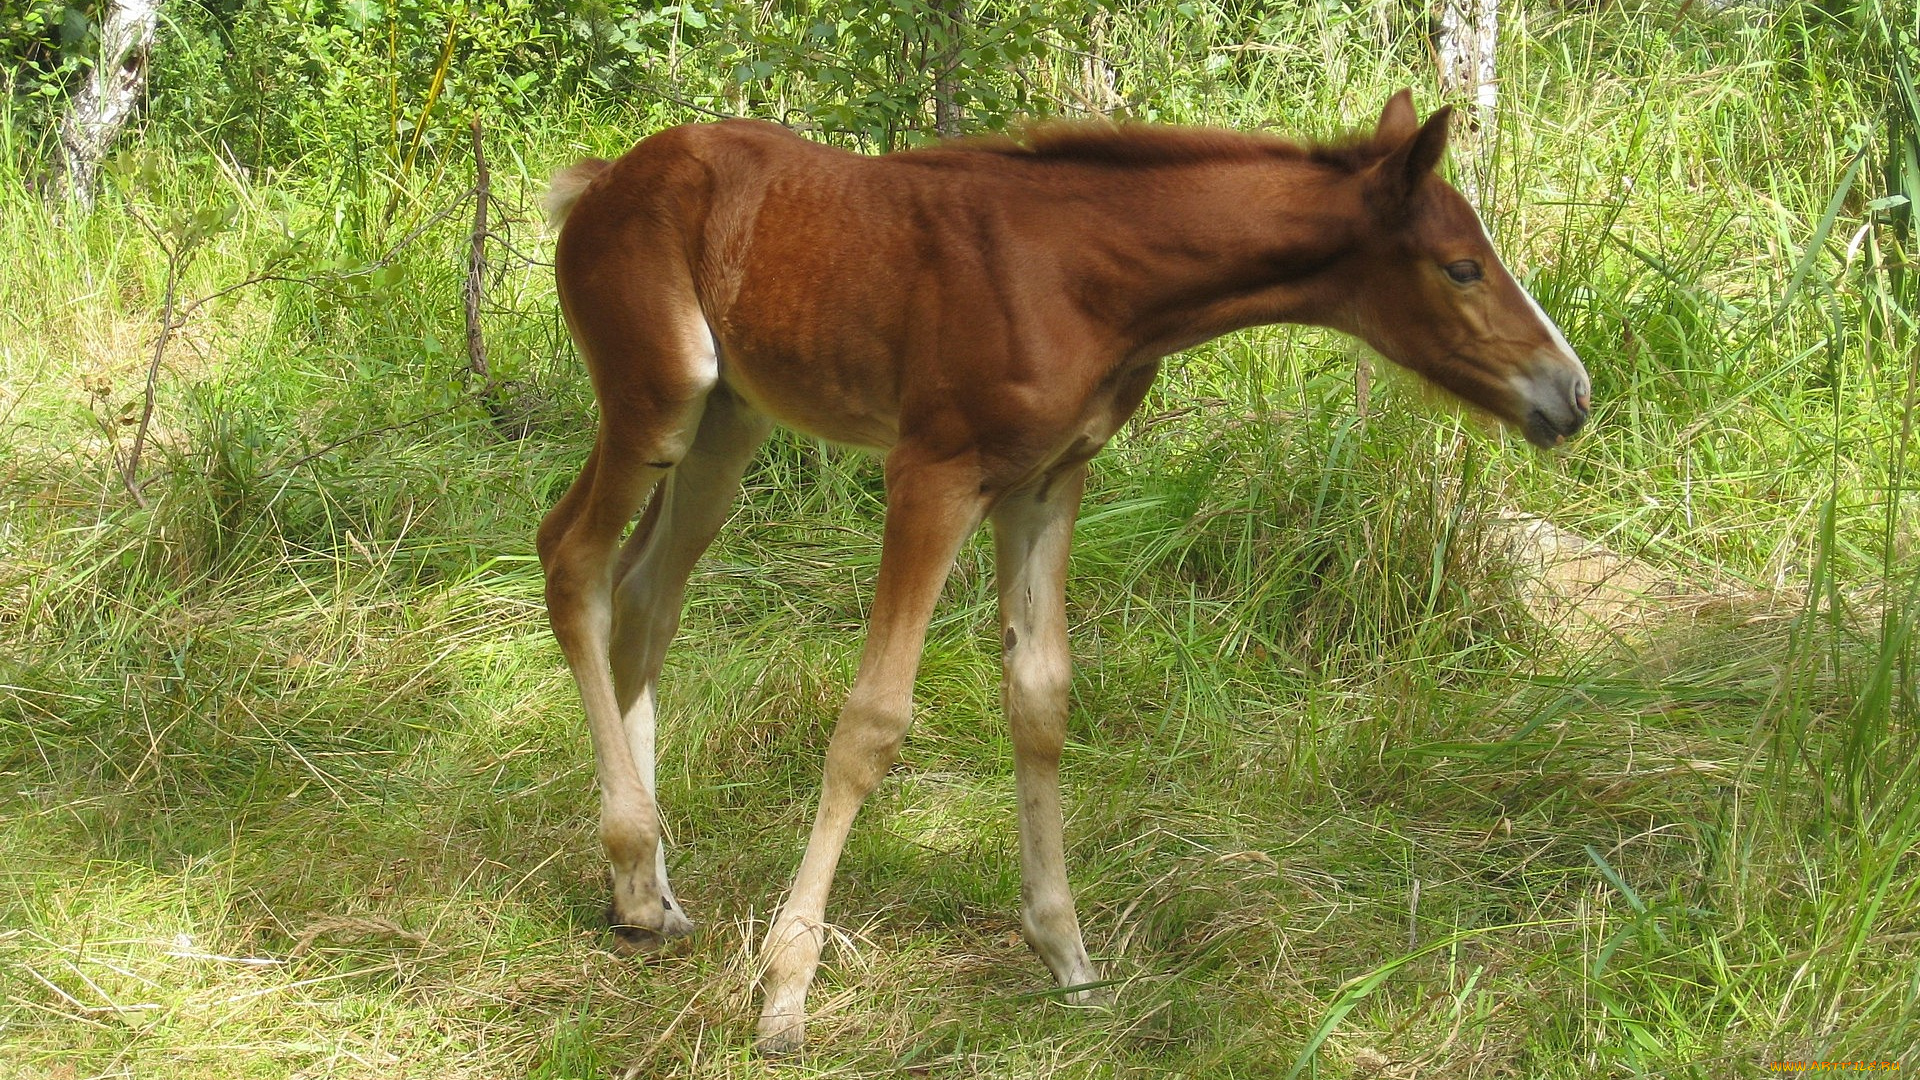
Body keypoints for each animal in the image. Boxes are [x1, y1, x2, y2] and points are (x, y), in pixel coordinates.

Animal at [541, 88, 1589, 1045]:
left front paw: (1069, 958)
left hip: (728, 426)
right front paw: (786, 989)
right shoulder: (933, 472)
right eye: (1461, 266)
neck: (1090, 278)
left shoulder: (1047, 479)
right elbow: (872, 721)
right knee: (572, 560)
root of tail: (601, 181)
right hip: (659, 396)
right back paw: (632, 858)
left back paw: (646, 891)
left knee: (646, 596)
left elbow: (1040, 697)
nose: (1571, 394)